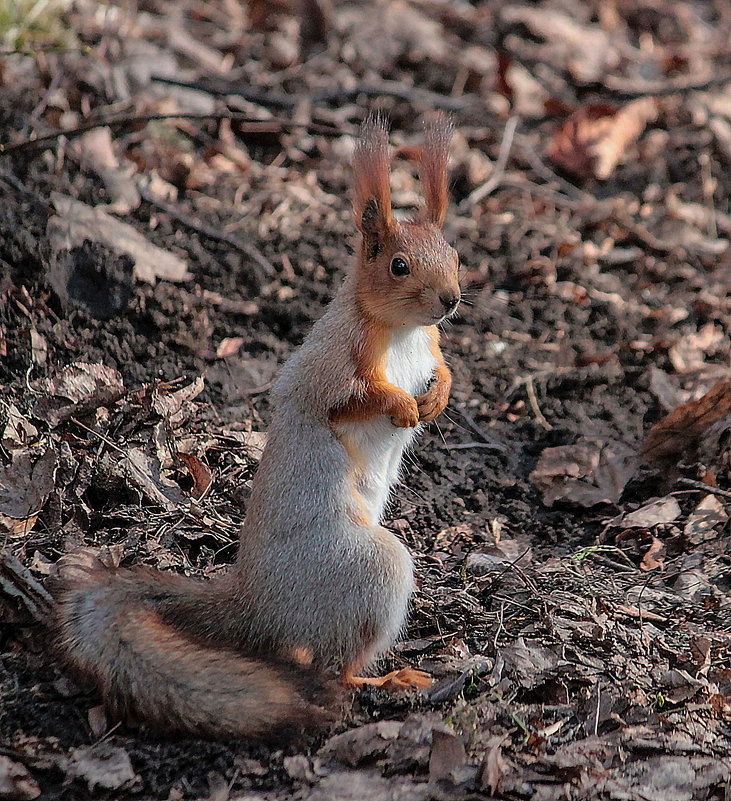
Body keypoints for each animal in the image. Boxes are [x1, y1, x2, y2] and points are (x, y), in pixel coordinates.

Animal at [51, 112, 460, 736]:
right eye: (397, 265)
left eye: (455, 253)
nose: (450, 300)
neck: (406, 332)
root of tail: (254, 609)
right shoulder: (331, 365)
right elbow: (345, 401)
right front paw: (405, 406)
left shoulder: (431, 344)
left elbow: (444, 368)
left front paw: (438, 394)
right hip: (367, 571)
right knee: (331, 665)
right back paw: (386, 680)